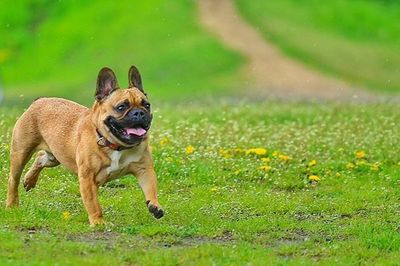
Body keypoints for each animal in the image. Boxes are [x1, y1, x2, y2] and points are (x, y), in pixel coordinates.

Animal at [5, 66, 164, 224]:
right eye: (121, 107)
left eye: (147, 105)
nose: (139, 113)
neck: (114, 145)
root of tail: (39, 101)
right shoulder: (87, 178)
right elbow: (93, 204)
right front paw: (98, 223)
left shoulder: (144, 169)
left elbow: (151, 188)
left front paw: (155, 206)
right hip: (21, 152)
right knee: (13, 180)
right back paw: (12, 205)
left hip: (55, 157)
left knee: (40, 158)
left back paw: (29, 181)